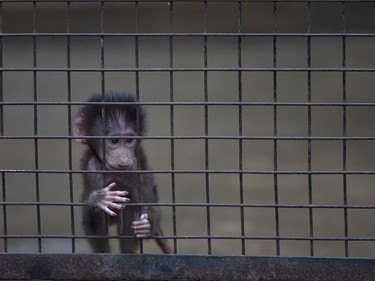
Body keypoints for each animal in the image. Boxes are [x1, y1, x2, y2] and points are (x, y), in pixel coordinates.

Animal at [73, 92, 172, 254]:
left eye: (129, 140)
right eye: (114, 141)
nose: (124, 159)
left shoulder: (138, 164)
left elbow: (148, 201)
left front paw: (147, 225)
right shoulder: (92, 166)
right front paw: (100, 198)